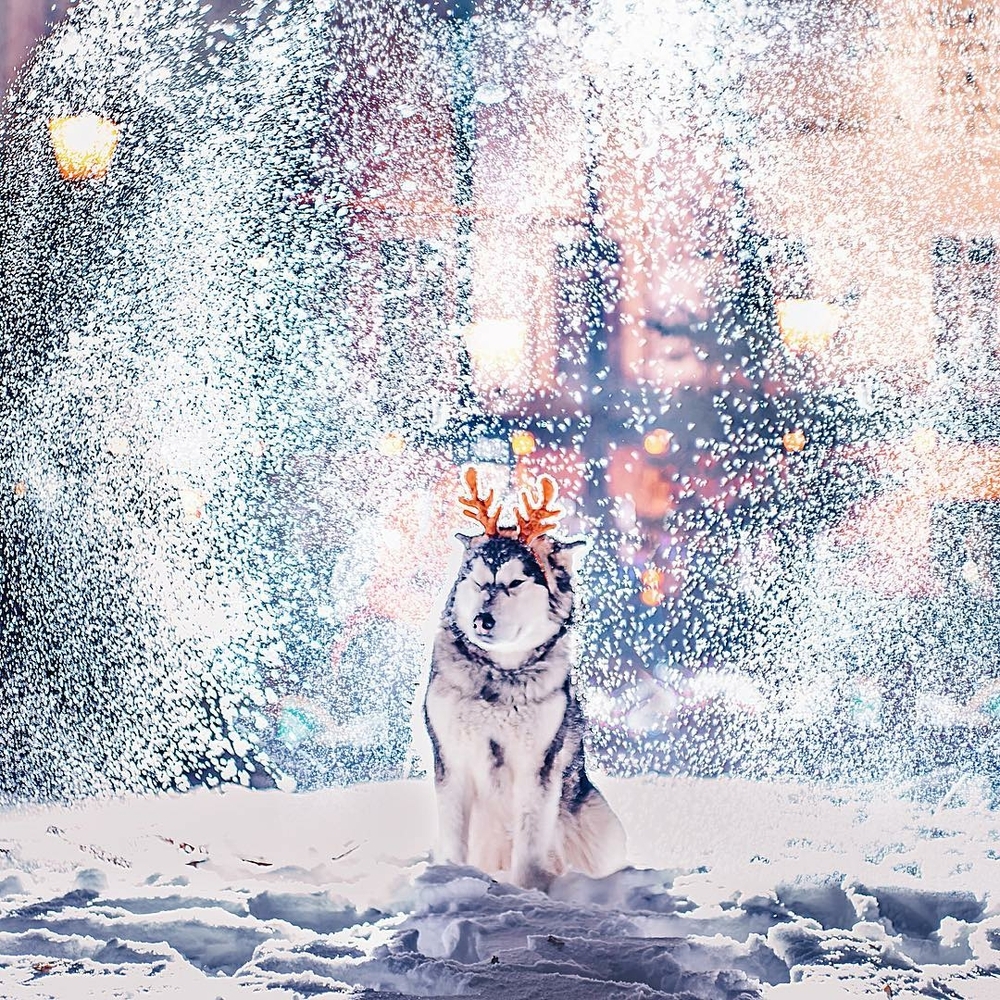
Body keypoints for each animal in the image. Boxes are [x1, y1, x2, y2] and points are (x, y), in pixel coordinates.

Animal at [422, 468, 624, 892]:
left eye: (516, 583)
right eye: (477, 581)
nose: (482, 620)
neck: (499, 677)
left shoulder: (538, 764)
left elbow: (531, 840)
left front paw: (528, 892)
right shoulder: (451, 757)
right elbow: (454, 835)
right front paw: (452, 877)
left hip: (599, 825)